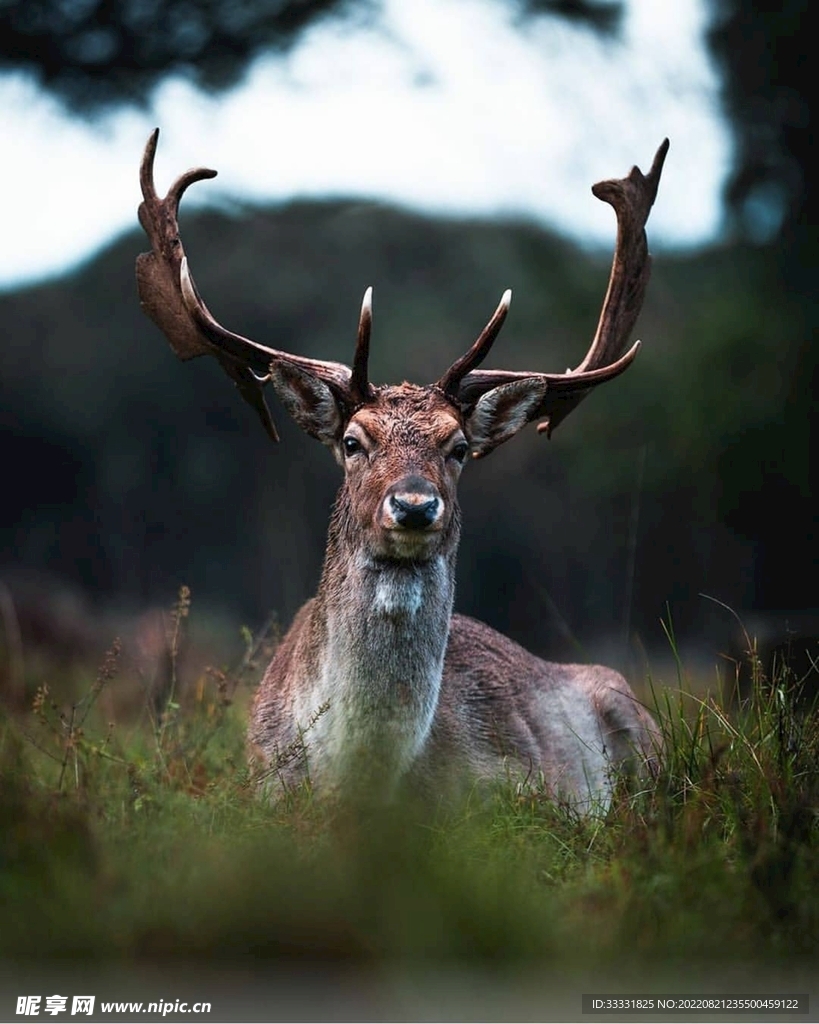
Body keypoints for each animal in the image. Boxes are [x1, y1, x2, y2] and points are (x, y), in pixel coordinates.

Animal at [136, 130, 666, 811]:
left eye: (459, 447)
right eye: (352, 442)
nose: (414, 505)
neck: (357, 778)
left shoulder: (522, 793)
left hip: (639, 721)